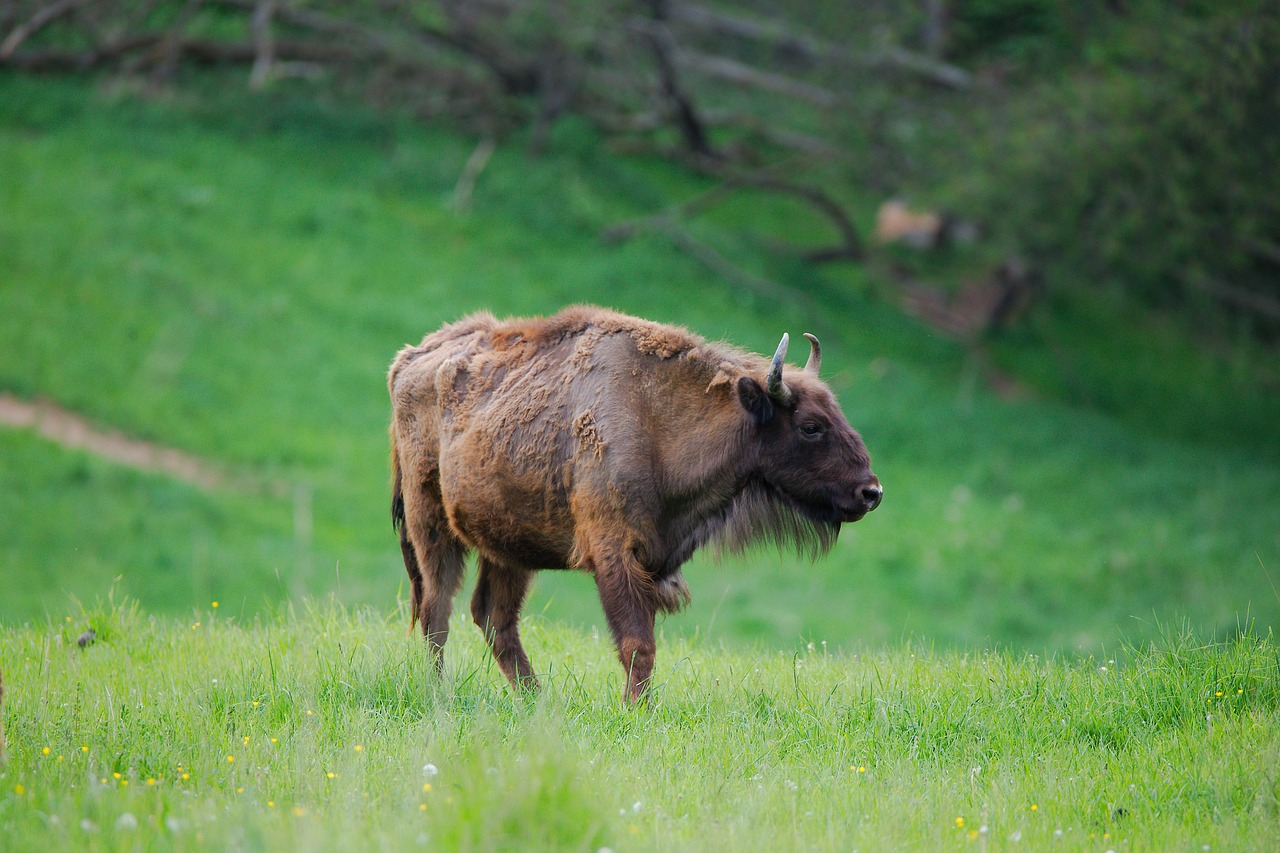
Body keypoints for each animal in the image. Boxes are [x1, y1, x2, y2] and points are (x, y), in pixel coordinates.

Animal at [389, 306, 880, 696]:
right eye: (811, 426)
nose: (871, 492)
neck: (658, 418)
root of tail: (408, 360)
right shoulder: (614, 556)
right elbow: (637, 646)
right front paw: (636, 709)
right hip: (430, 525)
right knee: (436, 610)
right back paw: (440, 692)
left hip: (508, 546)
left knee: (494, 617)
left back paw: (536, 700)